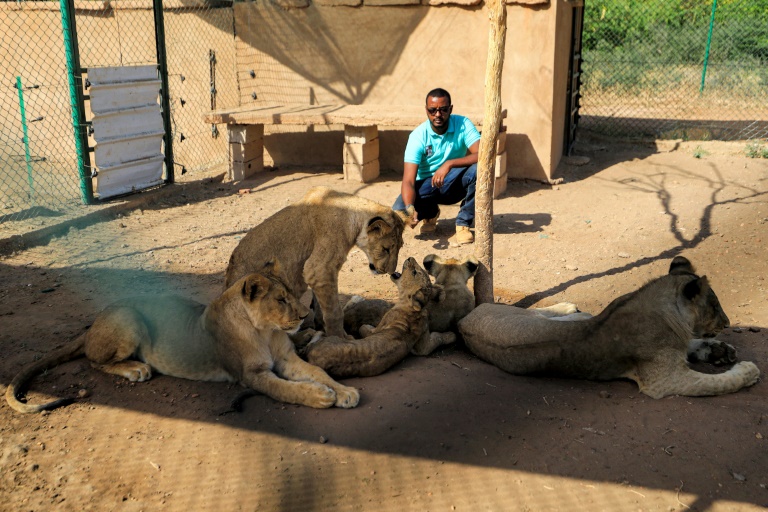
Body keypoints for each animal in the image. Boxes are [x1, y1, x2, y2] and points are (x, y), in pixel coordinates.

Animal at [6, 265, 360, 414]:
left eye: (293, 295)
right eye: (281, 299)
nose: (303, 315)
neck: (264, 329)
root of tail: (92, 325)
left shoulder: (287, 358)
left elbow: (318, 372)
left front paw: (344, 392)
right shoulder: (251, 375)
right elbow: (286, 389)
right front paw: (320, 396)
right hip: (129, 318)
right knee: (95, 361)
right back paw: (135, 369)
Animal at [225, 186, 404, 338]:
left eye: (400, 247)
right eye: (386, 249)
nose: (390, 271)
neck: (353, 218)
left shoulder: (320, 274)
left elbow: (320, 305)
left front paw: (322, 327)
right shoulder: (319, 268)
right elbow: (334, 311)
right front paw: (340, 338)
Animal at [302, 257, 455, 378]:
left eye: (414, 272)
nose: (410, 257)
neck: (412, 310)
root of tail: (313, 357)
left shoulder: (379, 327)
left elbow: (364, 327)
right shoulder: (422, 345)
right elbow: (437, 338)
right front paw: (452, 335)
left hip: (338, 337)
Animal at [458, 256, 760, 398]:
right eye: (716, 306)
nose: (728, 323)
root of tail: (464, 321)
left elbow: (692, 345)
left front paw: (720, 350)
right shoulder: (665, 381)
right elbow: (719, 383)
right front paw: (748, 370)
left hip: (524, 318)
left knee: (546, 313)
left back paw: (574, 310)